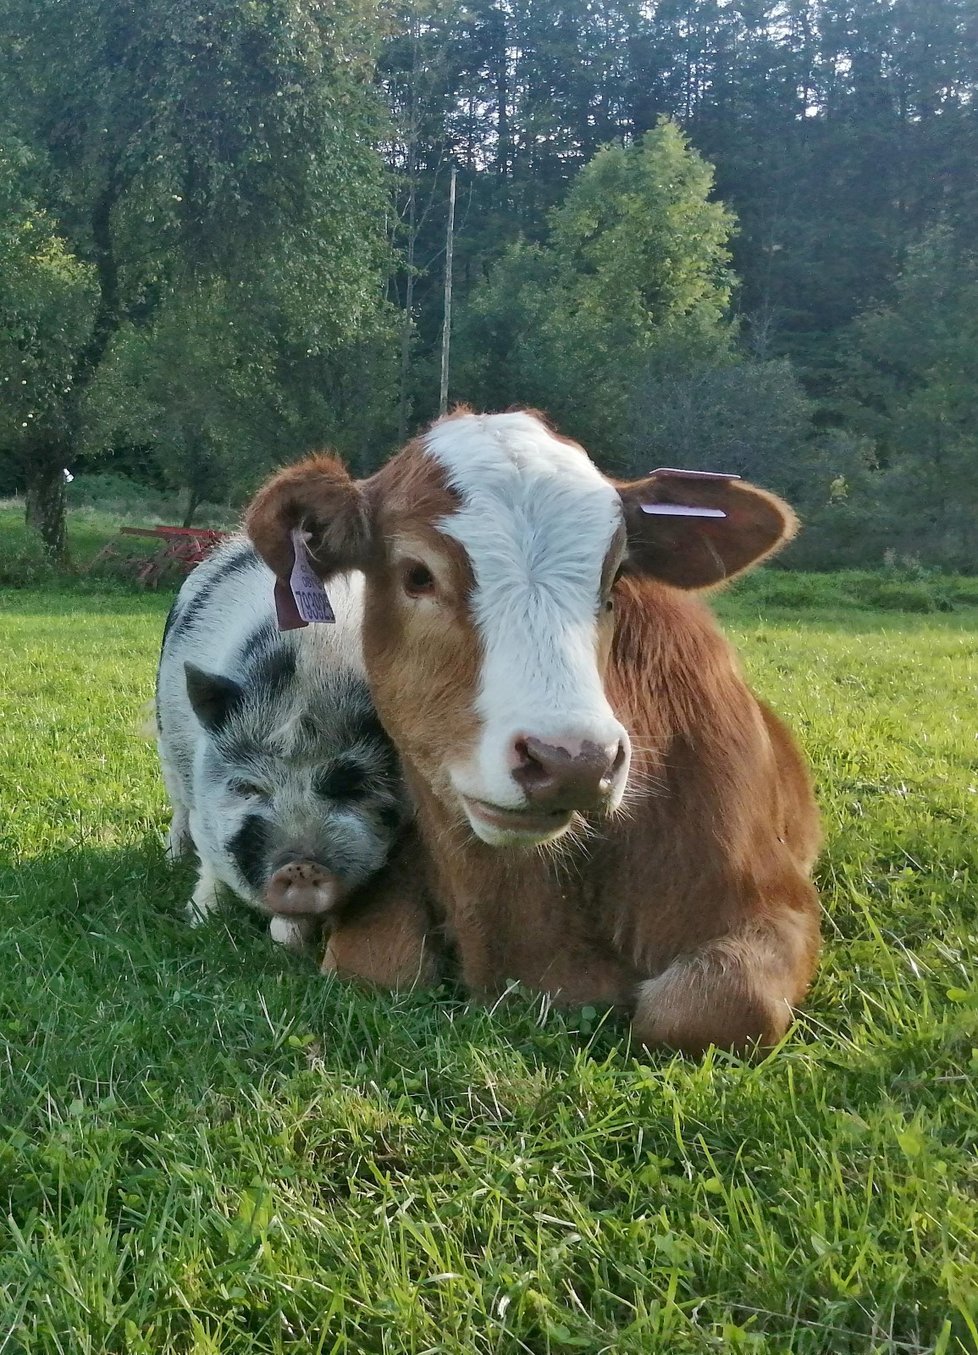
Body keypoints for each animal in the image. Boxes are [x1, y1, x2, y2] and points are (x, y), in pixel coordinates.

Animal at [156, 533, 406, 948]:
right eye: (250, 787)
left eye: (352, 786)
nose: (299, 864)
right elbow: (210, 862)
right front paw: (198, 922)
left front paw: (291, 941)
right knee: (179, 806)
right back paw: (173, 859)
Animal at [247, 406, 818, 1051]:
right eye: (417, 575)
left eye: (614, 579)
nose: (575, 761)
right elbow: (371, 965)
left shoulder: (778, 904)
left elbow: (710, 1007)